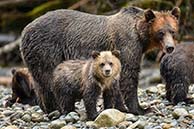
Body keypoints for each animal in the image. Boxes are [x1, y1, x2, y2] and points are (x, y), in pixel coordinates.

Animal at [20, 6, 180, 114]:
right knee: (49, 78)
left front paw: (120, 107)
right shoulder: (128, 44)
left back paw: (48, 108)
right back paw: (58, 109)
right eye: (160, 32)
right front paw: (142, 109)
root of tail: (24, 30)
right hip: (47, 49)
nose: (170, 47)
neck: (141, 36)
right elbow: (129, 75)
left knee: (39, 82)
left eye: (172, 31)